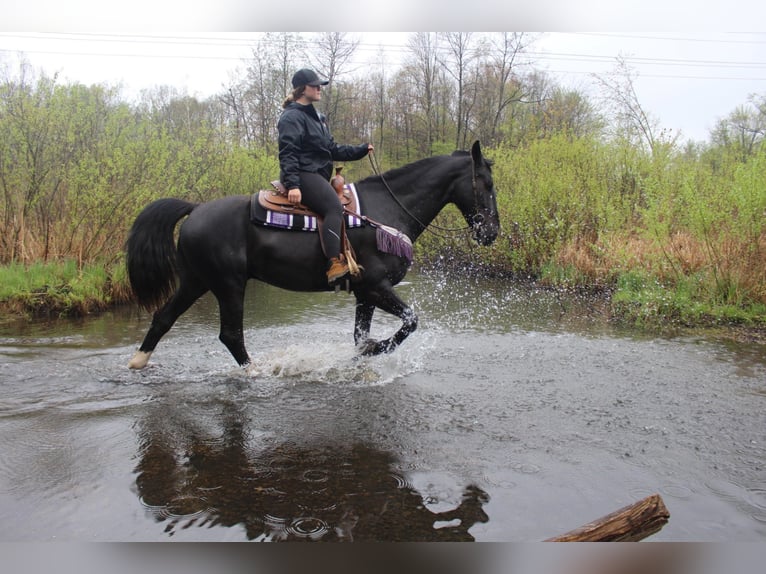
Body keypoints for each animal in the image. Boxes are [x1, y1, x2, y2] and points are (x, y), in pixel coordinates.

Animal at [127, 142, 498, 372]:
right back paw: (256, 372)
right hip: (228, 285)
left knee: (163, 317)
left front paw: (361, 356)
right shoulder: (376, 286)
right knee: (231, 335)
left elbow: (359, 335)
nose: (492, 231)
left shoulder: (364, 293)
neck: (387, 210)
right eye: (486, 183)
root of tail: (195, 209)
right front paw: (375, 349)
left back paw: (138, 362)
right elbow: (410, 321)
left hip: (196, 281)